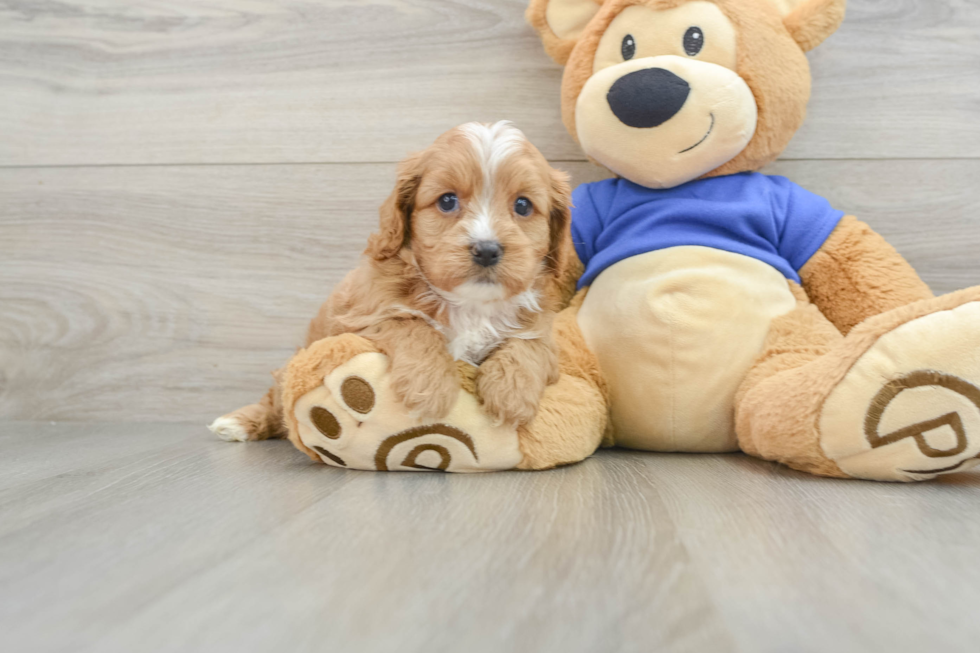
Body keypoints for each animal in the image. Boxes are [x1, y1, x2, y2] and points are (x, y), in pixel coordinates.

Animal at [211, 119, 572, 440]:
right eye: (447, 201)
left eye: (523, 205)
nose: (486, 250)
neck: (470, 305)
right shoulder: (362, 319)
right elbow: (412, 325)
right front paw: (429, 387)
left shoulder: (542, 327)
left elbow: (529, 345)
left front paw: (512, 394)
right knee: (276, 398)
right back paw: (239, 423)